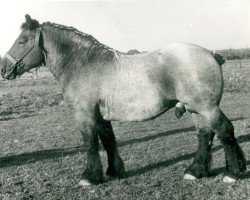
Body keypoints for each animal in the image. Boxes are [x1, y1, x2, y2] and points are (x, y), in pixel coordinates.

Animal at [0, 14, 246, 185]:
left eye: (22, 41)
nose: (4, 69)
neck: (83, 64)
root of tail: (210, 53)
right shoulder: (101, 116)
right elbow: (108, 141)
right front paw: (114, 171)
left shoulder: (84, 114)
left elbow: (90, 143)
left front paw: (89, 177)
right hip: (195, 109)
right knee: (205, 135)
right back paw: (195, 171)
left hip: (207, 108)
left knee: (225, 131)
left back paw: (232, 173)